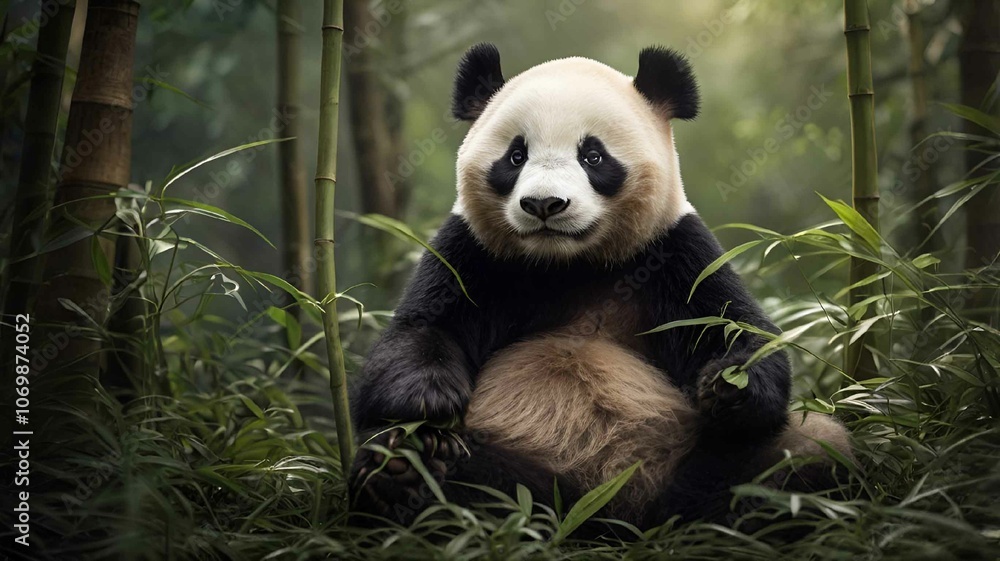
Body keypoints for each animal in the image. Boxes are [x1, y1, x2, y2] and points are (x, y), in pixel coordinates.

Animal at [350, 43, 851, 529]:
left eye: (593, 156)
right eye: (516, 156)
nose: (544, 204)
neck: (569, 263)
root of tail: (605, 519)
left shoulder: (674, 251)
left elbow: (735, 329)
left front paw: (729, 386)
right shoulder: (473, 254)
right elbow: (417, 334)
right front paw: (431, 398)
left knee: (803, 452)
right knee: (453, 478)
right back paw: (404, 475)